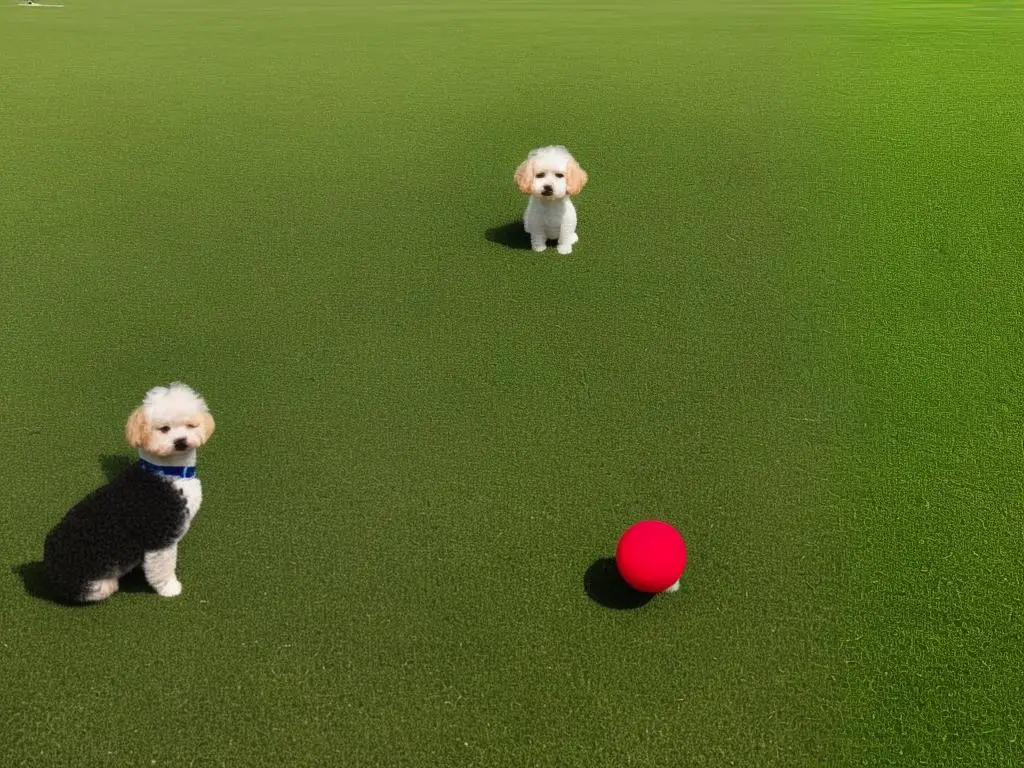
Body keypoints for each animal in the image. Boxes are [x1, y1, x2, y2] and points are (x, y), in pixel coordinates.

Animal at [43, 382, 215, 606]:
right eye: (164, 429)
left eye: (190, 425)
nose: (180, 441)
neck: (170, 472)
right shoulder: (161, 537)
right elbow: (163, 568)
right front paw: (170, 588)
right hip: (96, 584)